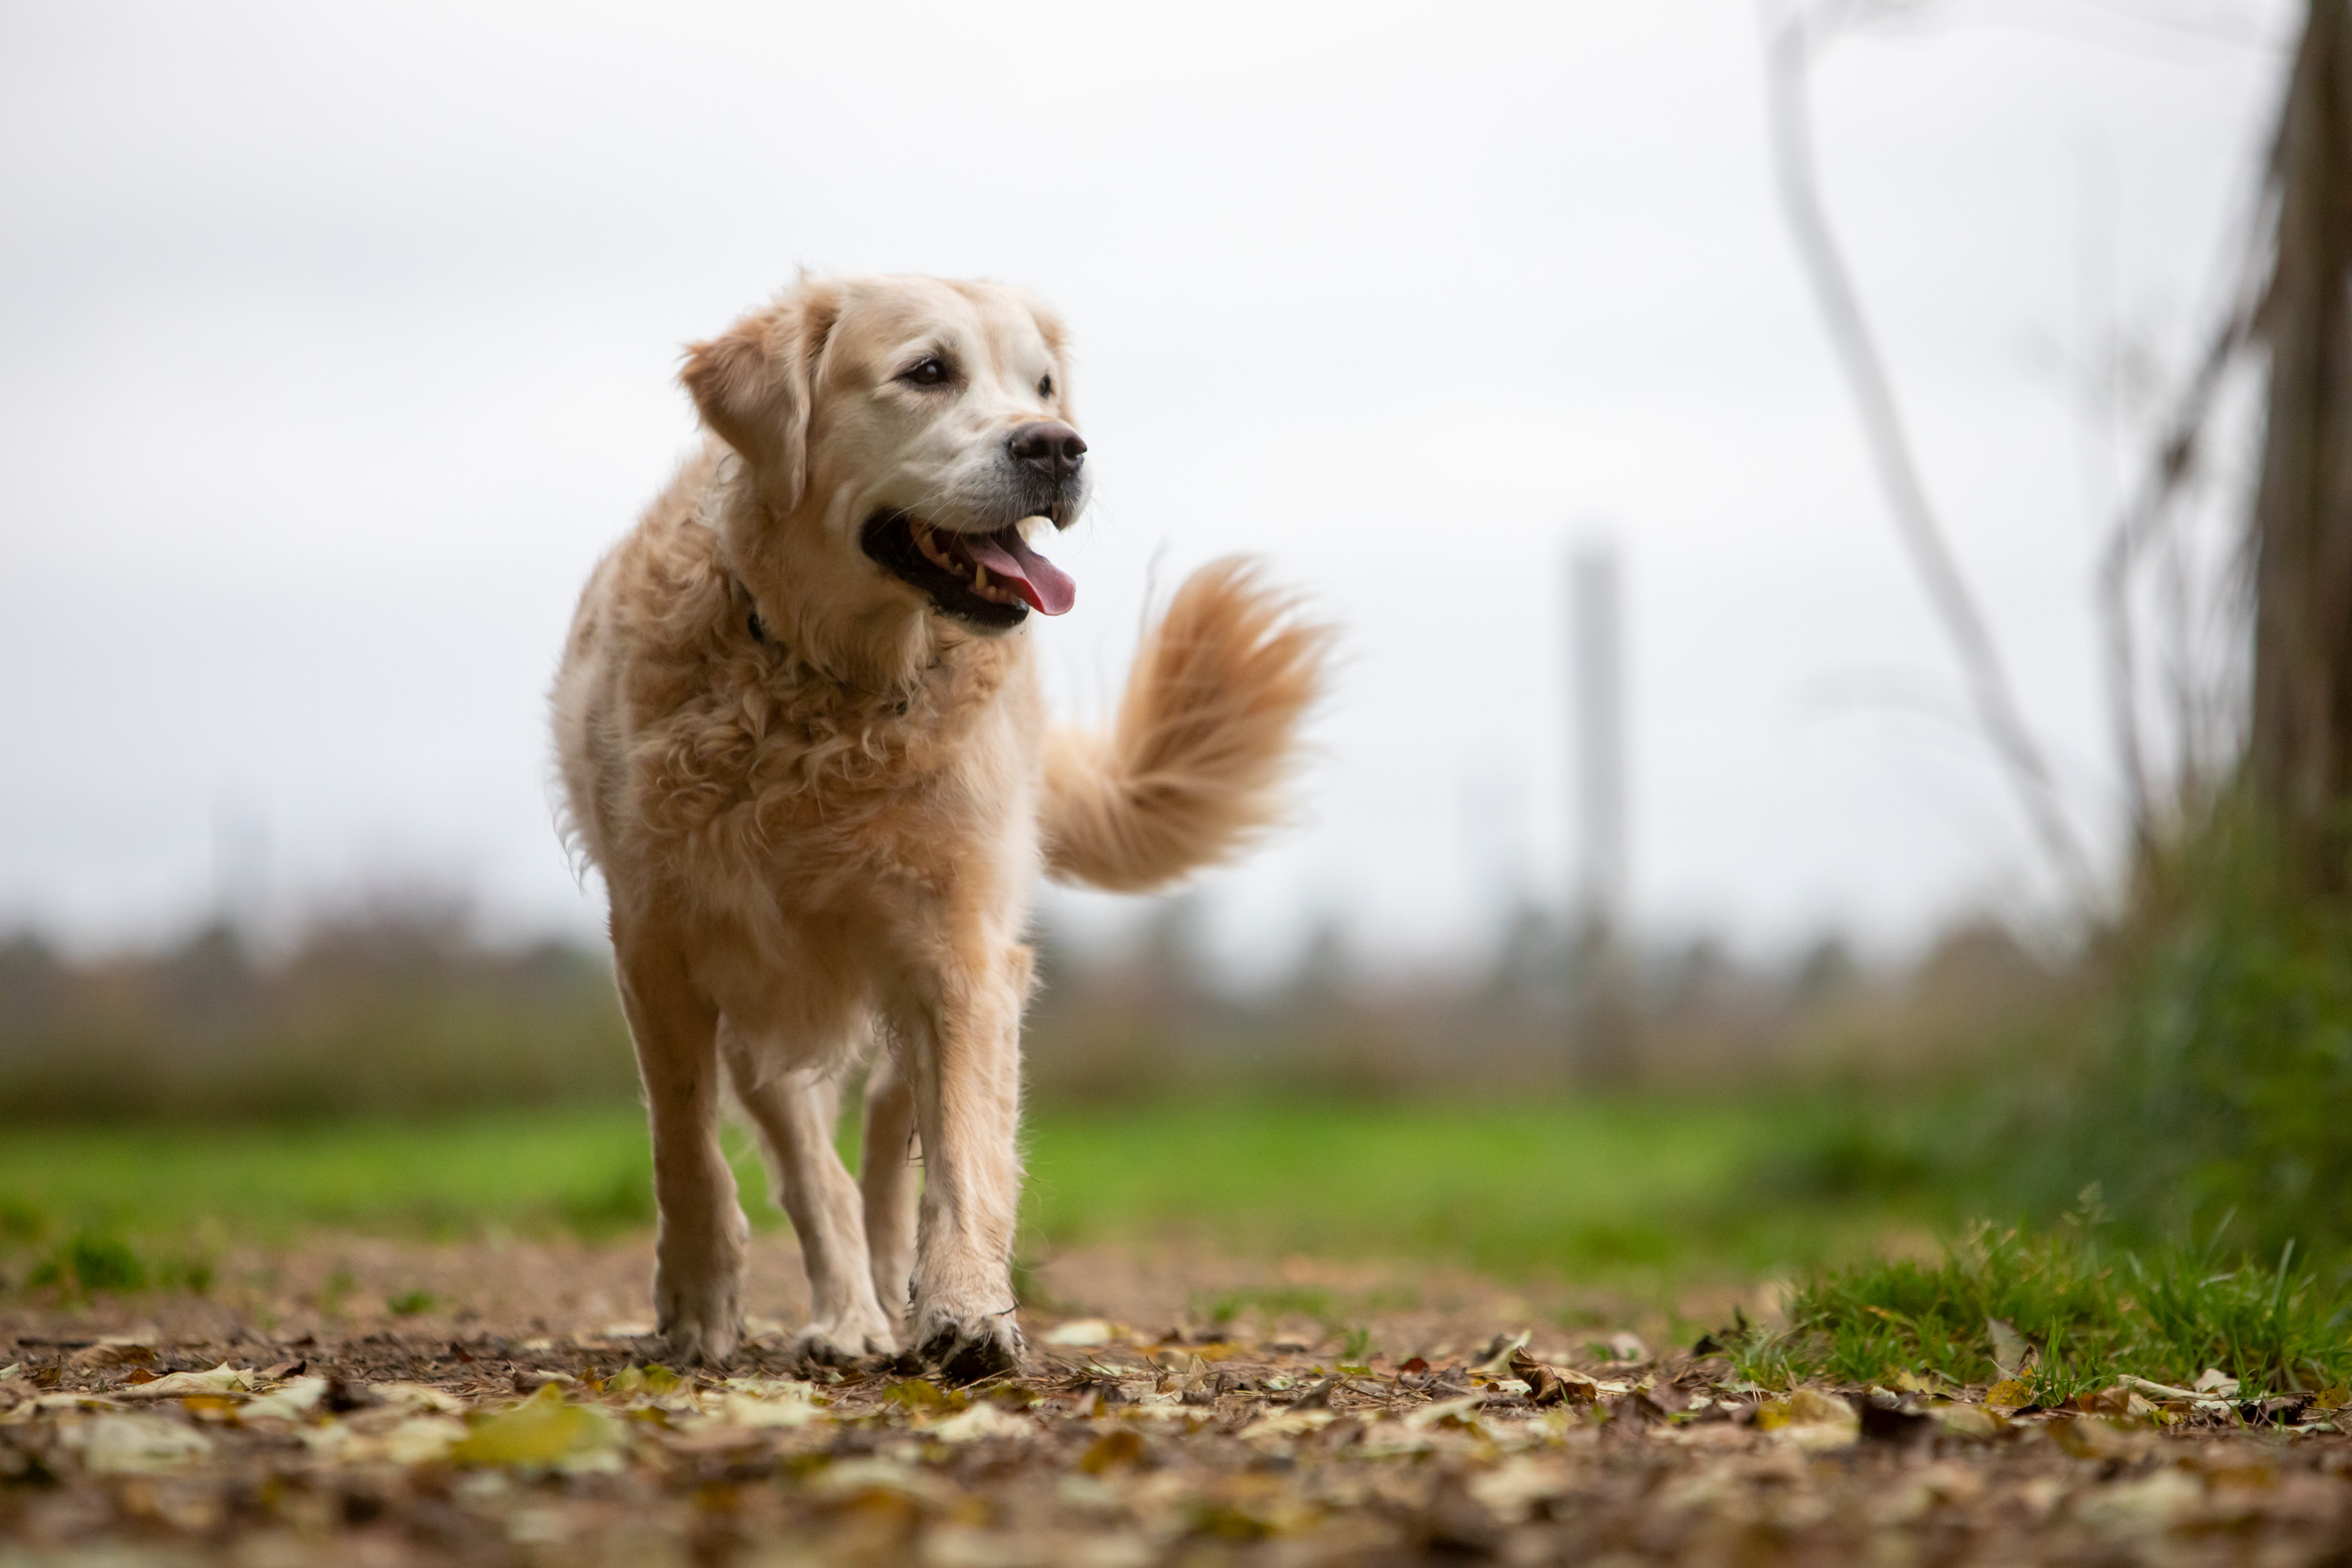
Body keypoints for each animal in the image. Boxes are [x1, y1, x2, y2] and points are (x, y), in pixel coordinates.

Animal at [548, 276, 1327, 1382]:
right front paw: (698, 1300)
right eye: (927, 371)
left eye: (1040, 385)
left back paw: (888, 1291)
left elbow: (964, 1146)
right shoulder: (660, 939)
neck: (828, 686)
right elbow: (683, 1138)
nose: (1058, 447)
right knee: (809, 1162)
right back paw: (847, 1310)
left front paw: (963, 1308)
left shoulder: (959, 946)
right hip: (767, 1004)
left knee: (887, 1139)